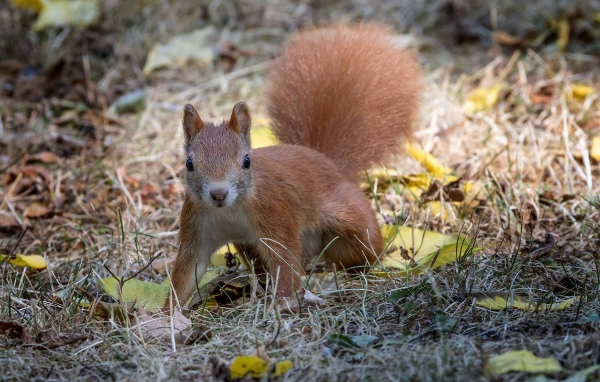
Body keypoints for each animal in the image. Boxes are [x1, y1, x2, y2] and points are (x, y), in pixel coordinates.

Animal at [165, 20, 422, 308]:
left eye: (246, 161)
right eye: (189, 164)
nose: (218, 194)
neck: (228, 211)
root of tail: (325, 160)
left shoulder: (275, 213)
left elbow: (285, 257)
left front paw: (284, 303)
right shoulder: (196, 225)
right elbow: (187, 273)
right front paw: (165, 314)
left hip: (352, 221)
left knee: (364, 248)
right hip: (249, 247)